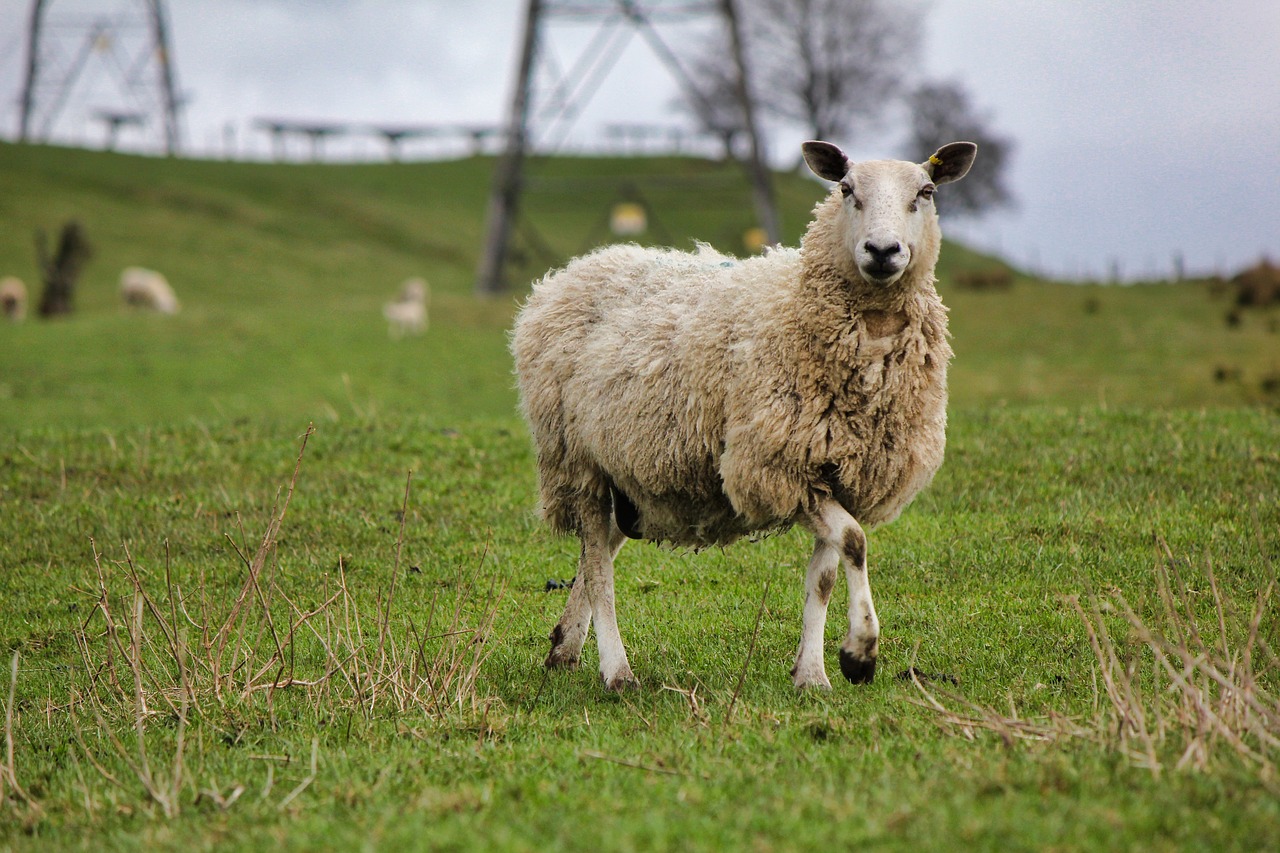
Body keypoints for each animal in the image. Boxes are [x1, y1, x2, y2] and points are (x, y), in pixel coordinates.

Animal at [514, 137, 972, 691]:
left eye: (926, 193)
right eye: (846, 189)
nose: (883, 252)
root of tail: (572, 270)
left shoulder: (836, 472)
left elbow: (825, 572)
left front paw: (813, 674)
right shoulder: (777, 465)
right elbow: (855, 542)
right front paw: (859, 654)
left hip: (627, 470)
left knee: (598, 546)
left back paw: (565, 646)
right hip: (577, 459)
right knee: (600, 565)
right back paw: (616, 670)